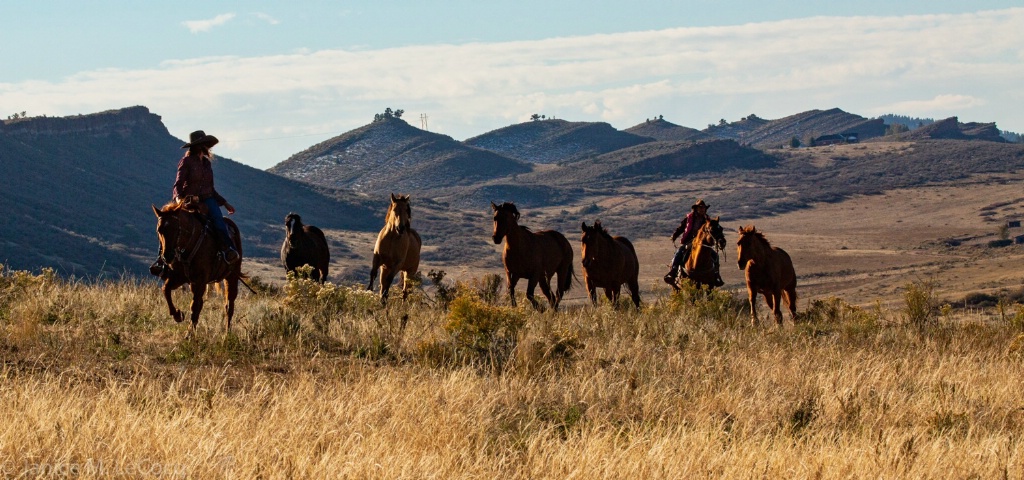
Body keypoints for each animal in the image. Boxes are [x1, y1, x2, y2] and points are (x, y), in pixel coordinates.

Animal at [150, 200, 242, 335]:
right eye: (159, 230)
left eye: (177, 229)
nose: (167, 256)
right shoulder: (178, 278)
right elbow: (165, 290)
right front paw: (178, 315)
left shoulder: (200, 281)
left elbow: (194, 306)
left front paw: (188, 334)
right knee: (201, 304)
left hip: (231, 277)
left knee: (229, 305)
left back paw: (227, 334)